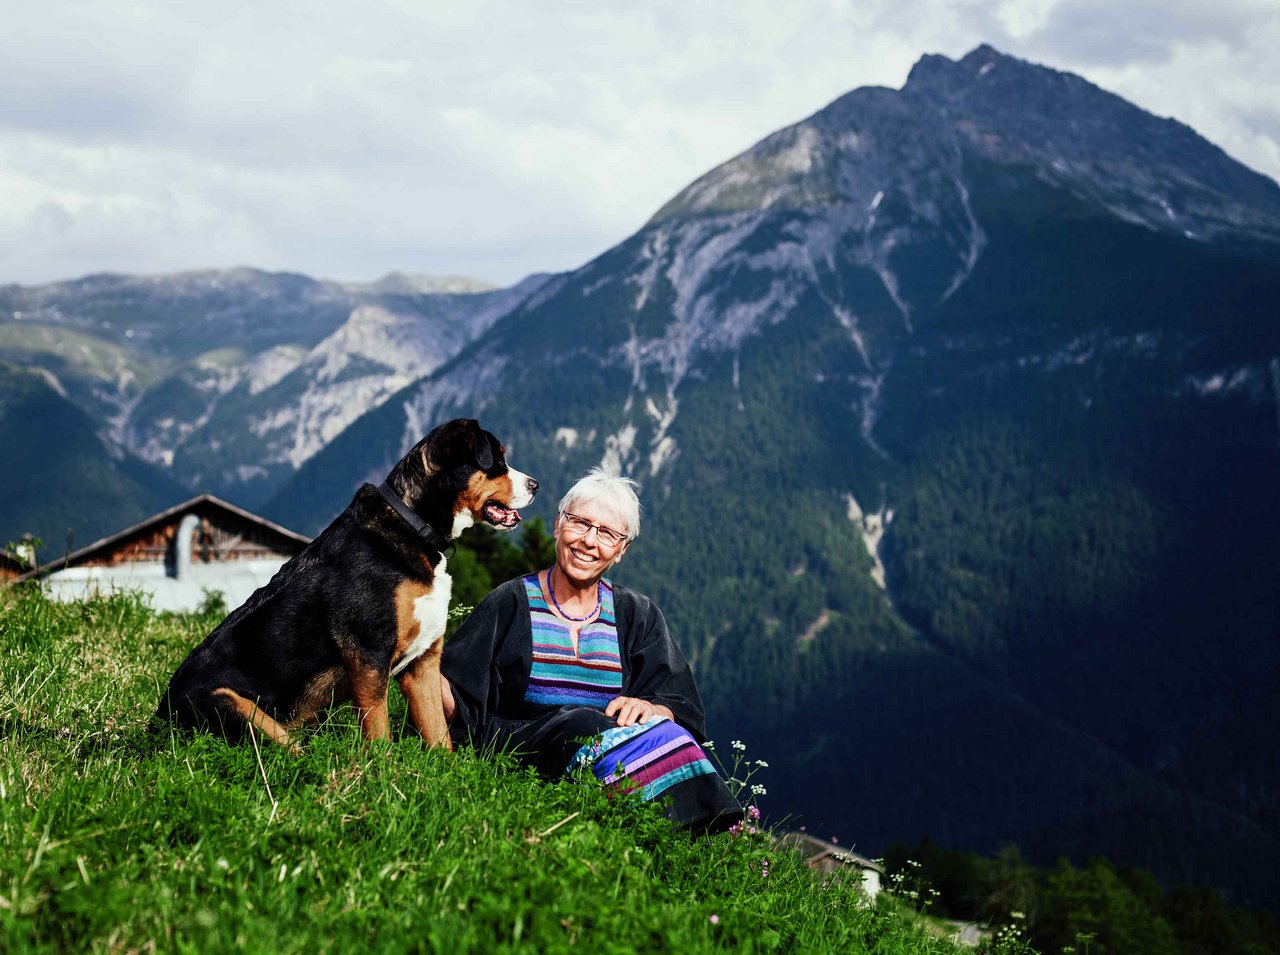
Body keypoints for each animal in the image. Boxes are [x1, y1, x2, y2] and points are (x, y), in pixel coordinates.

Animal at [157, 417, 537, 752]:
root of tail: (158, 720)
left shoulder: (424, 663)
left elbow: (439, 734)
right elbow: (379, 732)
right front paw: (384, 774)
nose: (536, 485)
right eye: (497, 460)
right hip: (234, 706)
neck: (413, 526)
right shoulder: (368, 655)